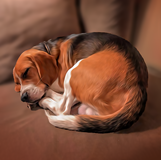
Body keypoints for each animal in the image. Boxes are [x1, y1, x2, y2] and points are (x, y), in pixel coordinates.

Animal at [13, 32, 148, 132]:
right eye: (17, 85)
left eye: (26, 72)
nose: (23, 97)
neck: (50, 51)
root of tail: (138, 84)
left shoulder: (60, 81)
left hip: (74, 71)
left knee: (62, 108)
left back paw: (43, 100)